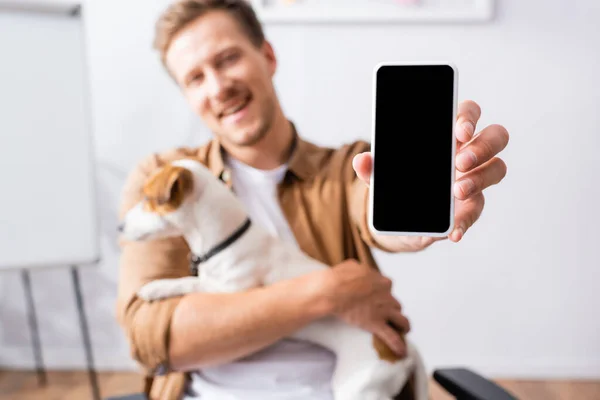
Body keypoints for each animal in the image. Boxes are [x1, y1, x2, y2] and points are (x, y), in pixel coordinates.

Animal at [118, 158, 426, 400]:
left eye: (147, 199)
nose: (119, 226)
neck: (228, 240)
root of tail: (407, 348)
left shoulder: (234, 289)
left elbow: (192, 282)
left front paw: (156, 287)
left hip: (359, 388)